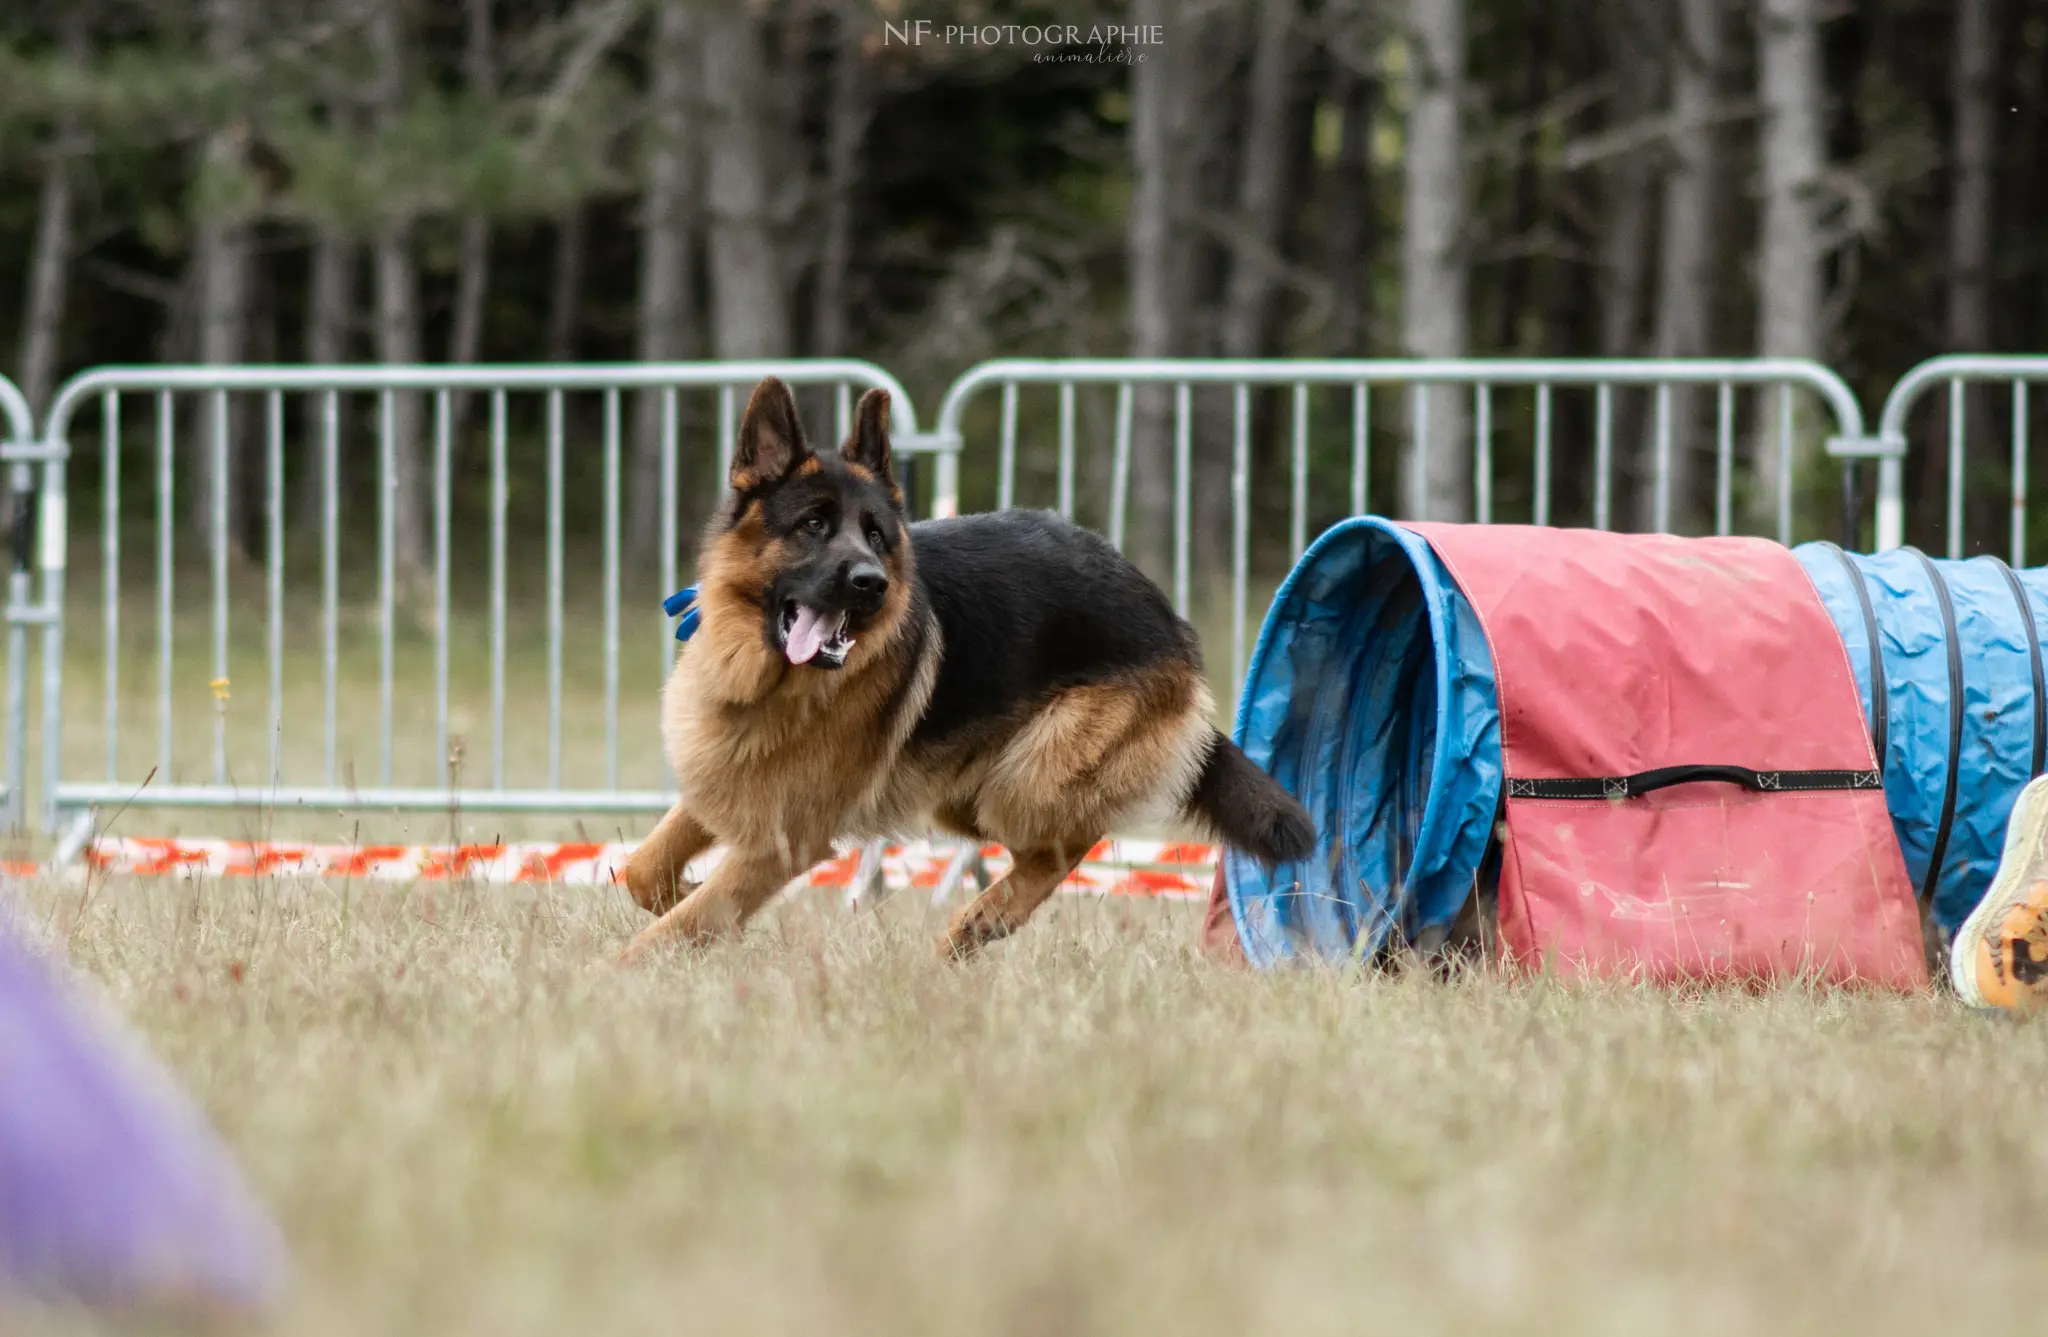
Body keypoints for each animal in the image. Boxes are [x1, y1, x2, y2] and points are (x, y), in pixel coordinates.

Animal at [614, 374, 1310, 958]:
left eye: (875, 534)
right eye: (813, 524)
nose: (871, 583)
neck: (768, 683)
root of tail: (1167, 614)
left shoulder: (782, 842)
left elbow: (681, 924)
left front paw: (621, 975)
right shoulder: (723, 779)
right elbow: (643, 873)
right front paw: (683, 906)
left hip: (1025, 781)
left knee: (1065, 845)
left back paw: (986, 918)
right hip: (963, 792)